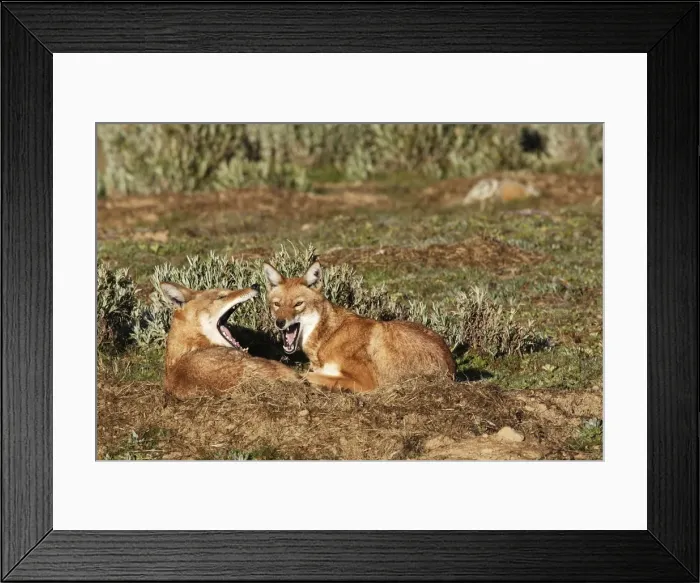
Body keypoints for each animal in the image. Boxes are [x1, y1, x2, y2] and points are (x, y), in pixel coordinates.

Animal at [262, 261, 456, 392]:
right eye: (277, 304)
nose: (280, 322)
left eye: (298, 304)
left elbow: (306, 375)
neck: (328, 336)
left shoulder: (365, 381)